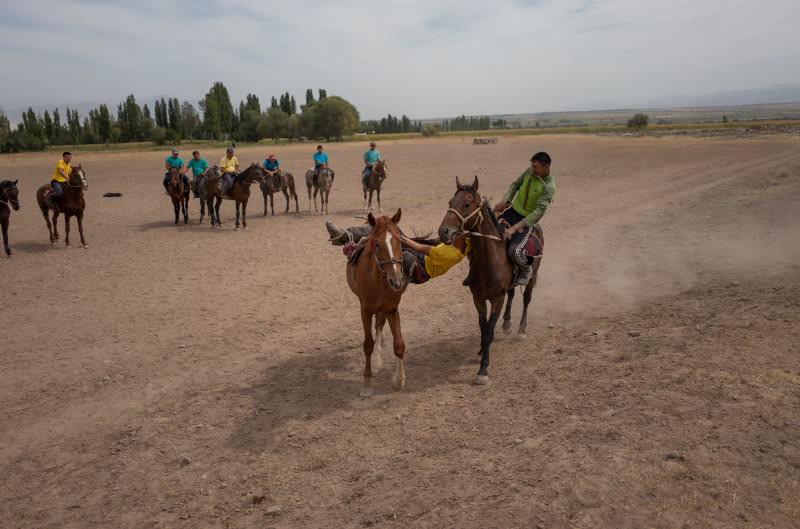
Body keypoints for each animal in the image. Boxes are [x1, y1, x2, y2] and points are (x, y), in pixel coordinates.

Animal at [346, 208, 406, 394]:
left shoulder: (392, 309)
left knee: (379, 325)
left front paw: (399, 381)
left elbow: (399, 345)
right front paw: (367, 382)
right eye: (377, 244)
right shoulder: (365, 310)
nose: (397, 281)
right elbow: (368, 345)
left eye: (399, 241)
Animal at [438, 176, 544, 384]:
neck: (490, 261)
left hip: (532, 277)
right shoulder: (478, 297)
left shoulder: (497, 299)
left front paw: (483, 369)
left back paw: (521, 330)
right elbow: (483, 326)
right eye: (450, 202)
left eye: (467, 204)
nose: (444, 231)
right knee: (512, 293)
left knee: (526, 299)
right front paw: (480, 351)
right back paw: (507, 324)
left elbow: (488, 332)